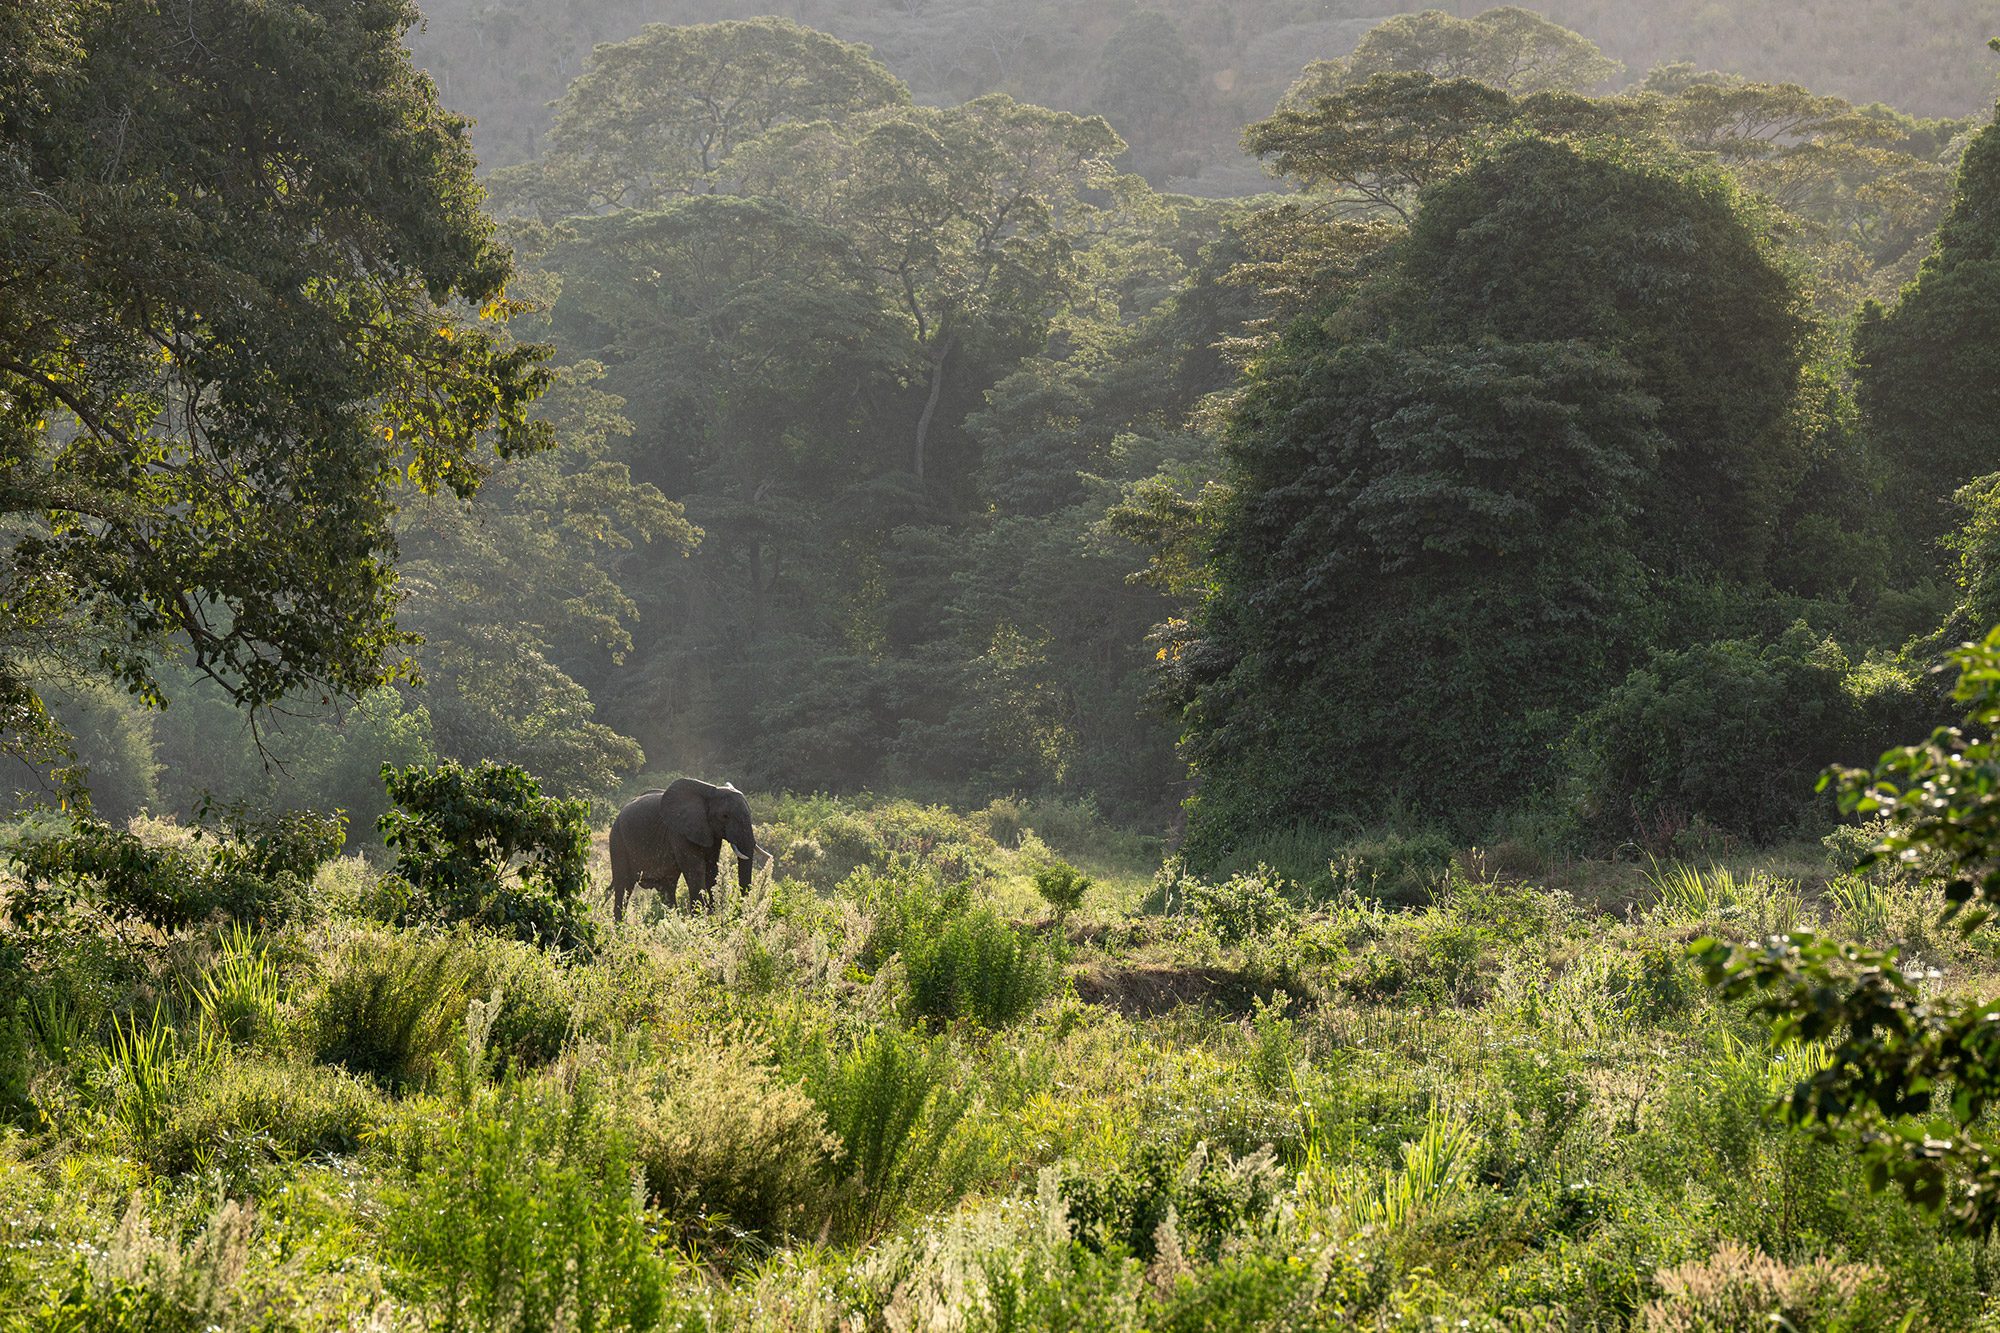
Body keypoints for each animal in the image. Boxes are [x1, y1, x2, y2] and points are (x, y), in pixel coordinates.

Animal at [608, 778, 759, 921]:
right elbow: (695, 869)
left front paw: (711, 916)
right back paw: (620, 927)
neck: (710, 792)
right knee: (624, 885)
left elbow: (711, 869)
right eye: (725, 816)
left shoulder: (711, 833)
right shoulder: (679, 831)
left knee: (667, 887)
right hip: (617, 839)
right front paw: (700, 921)